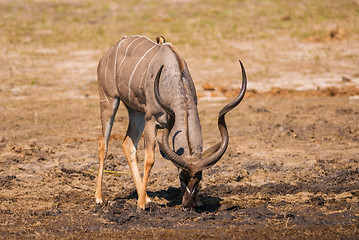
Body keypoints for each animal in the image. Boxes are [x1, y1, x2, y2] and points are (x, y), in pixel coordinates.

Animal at [95, 35, 248, 210]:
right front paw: (140, 204)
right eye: (181, 177)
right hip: (109, 101)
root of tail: (110, 52)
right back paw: (99, 198)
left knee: (127, 144)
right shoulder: (151, 120)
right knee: (103, 144)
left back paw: (146, 196)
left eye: (199, 178)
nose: (188, 205)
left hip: (136, 112)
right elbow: (150, 159)